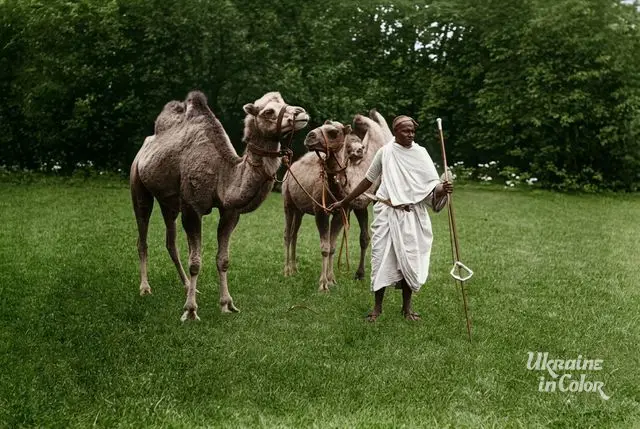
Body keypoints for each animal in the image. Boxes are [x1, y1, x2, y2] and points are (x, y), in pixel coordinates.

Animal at [130, 90, 309, 321]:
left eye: (285, 103)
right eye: (269, 111)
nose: (301, 113)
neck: (222, 173)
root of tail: (146, 145)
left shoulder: (230, 212)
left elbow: (223, 259)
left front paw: (227, 304)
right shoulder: (192, 209)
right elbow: (195, 261)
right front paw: (190, 310)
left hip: (169, 202)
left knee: (171, 242)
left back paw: (187, 285)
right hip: (138, 185)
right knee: (142, 237)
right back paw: (145, 288)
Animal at [282, 120, 355, 291]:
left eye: (334, 132)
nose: (310, 135)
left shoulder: (341, 211)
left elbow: (332, 247)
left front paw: (332, 280)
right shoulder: (321, 211)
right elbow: (325, 248)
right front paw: (323, 284)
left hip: (299, 210)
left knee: (295, 233)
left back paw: (295, 269)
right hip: (288, 203)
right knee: (287, 234)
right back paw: (287, 271)